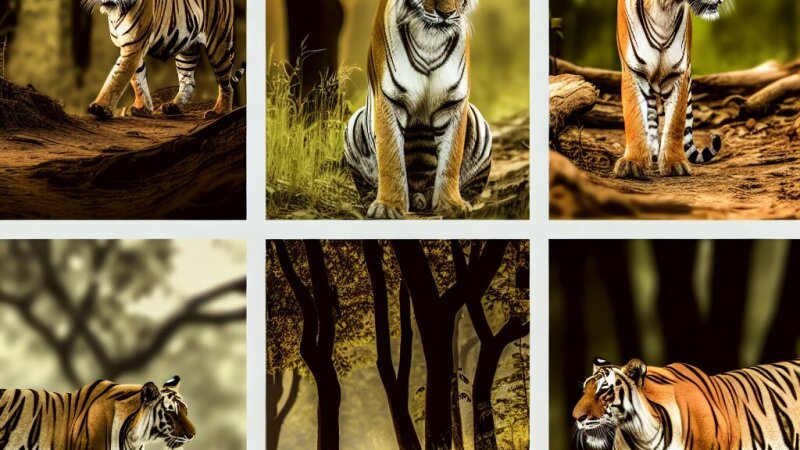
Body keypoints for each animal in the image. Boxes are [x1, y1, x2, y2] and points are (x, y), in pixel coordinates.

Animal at [83, 0, 238, 120]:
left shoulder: (133, 46)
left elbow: (117, 77)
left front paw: (100, 107)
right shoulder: (131, 46)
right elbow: (138, 80)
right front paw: (142, 108)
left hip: (218, 42)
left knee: (226, 82)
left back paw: (219, 111)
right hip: (186, 49)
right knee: (189, 81)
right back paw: (173, 106)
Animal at [343, 0, 492, 219]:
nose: (446, 14)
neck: (430, 40)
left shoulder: (454, 103)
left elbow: (451, 159)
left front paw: (452, 204)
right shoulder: (389, 99)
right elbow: (390, 158)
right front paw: (387, 207)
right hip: (354, 122)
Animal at [614, 0, 725, 179]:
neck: (664, 8)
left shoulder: (677, 74)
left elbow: (675, 123)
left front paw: (675, 164)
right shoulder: (634, 72)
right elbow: (635, 117)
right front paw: (632, 164)